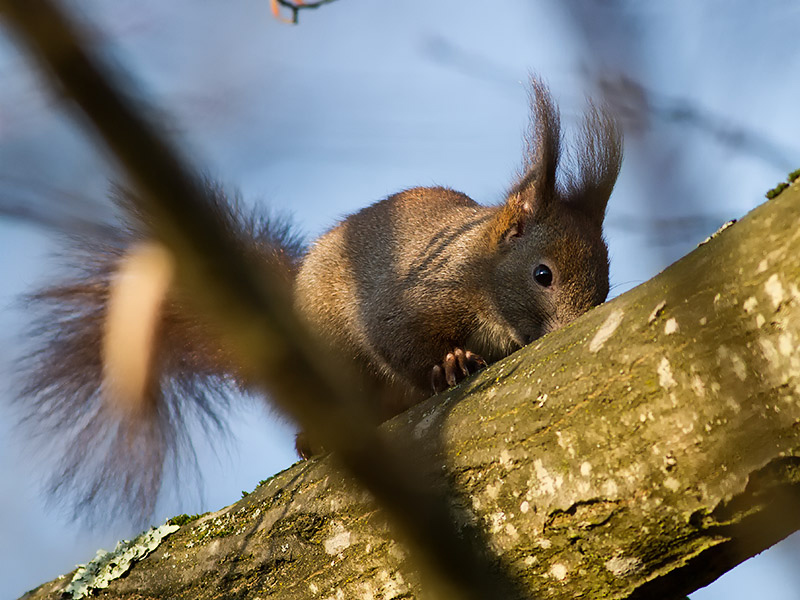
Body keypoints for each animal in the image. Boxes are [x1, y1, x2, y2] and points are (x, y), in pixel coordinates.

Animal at [15, 78, 620, 520]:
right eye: (543, 275)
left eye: (607, 284)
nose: (577, 323)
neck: (484, 275)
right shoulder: (411, 297)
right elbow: (400, 340)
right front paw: (449, 363)